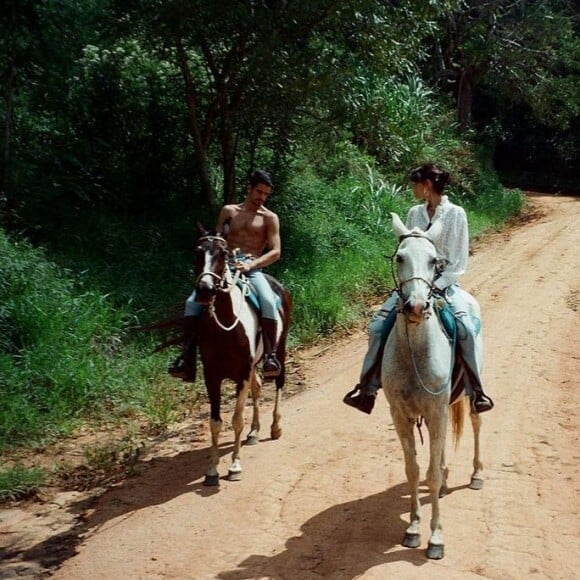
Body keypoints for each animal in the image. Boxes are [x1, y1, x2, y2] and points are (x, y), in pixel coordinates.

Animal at [195, 224, 292, 488]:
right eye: (197, 252)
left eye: (222, 253)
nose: (205, 289)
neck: (225, 327)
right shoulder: (212, 376)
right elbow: (215, 423)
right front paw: (211, 470)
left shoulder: (241, 374)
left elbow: (236, 419)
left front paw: (235, 466)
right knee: (257, 388)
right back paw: (254, 432)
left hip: (280, 347)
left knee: (278, 382)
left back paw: (275, 426)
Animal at [380, 212, 484, 556]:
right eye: (400, 257)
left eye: (433, 260)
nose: (415, 306)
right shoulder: (400, 415)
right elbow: (414, 470)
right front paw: (413, 528)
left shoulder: (437, 411)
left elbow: (432, 474)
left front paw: (436, 536)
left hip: (469, 395)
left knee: (476, 424)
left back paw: (476, 474)